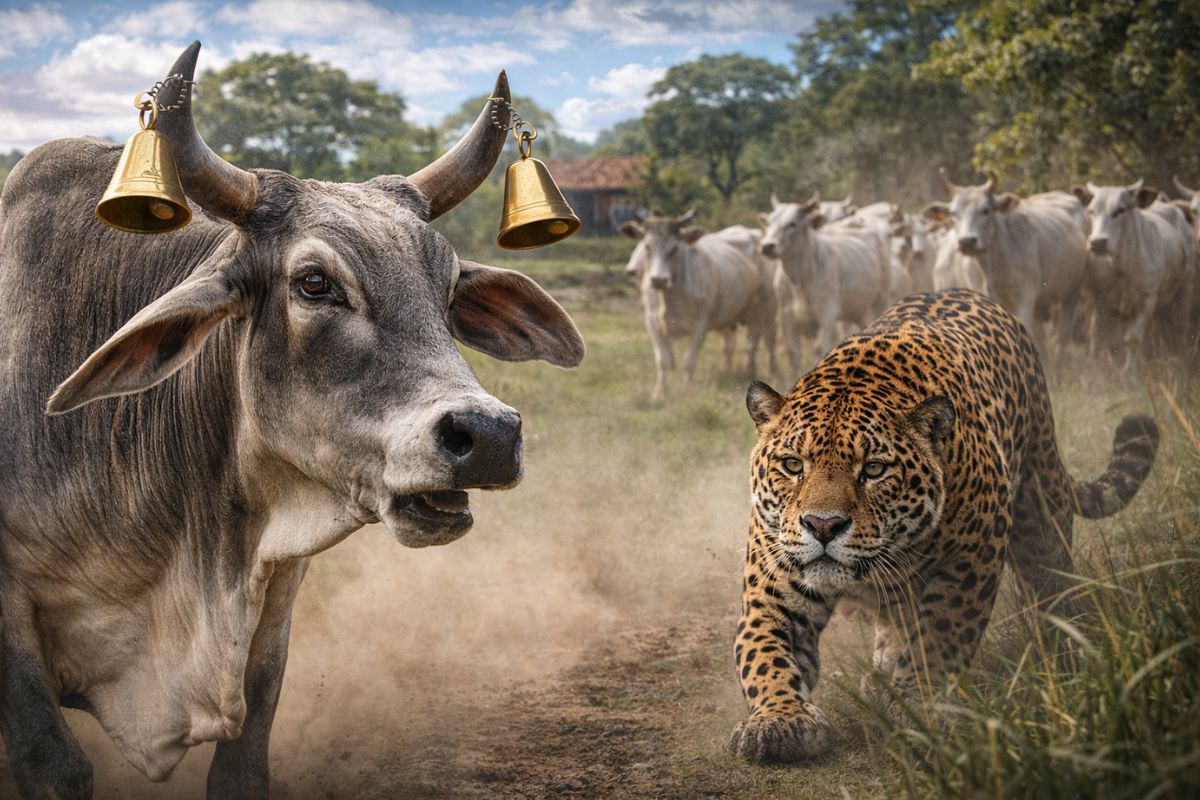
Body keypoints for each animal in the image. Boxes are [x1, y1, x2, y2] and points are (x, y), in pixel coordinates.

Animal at [0, 42, 584, 800]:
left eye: (449, 288)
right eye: (313, 283)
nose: (487, 437)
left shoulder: (275, 596)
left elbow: (245, 761)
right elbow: (56, 765)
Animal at [620, 212, 777, 399]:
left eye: (674, 248)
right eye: (647, 246)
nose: (659, 279)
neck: (668, 296)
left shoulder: (700, 325)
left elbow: (689, 360)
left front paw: (686, 389)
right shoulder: (652, 323)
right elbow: (663, 360)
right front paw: (660, 392)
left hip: (764, 309)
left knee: (762, 343)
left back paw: (761, 372)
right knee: (732, 345)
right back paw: (729, 369)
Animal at [759, 193, 891, 365]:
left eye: (792, 223)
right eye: (769, 222)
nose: (767, 246)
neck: (799, 279)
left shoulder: (827, 315)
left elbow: (819, 348)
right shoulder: (786, 318)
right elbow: (793, 353)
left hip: (880, 299)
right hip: (857, 311)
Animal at [922, 169, 1087, 354]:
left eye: (985, 210)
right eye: (954, 214)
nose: (967, 241)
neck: (994, 266)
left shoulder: (1025, 297)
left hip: (1070, 295)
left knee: (1061, 337)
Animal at [1073, 180, 1197, 374]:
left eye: (1120, 210)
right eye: (1091, 210)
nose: (1098, 242)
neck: (1122, 265)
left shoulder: (1147, 300)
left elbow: (1132, 339)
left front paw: (1129, 372)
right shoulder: (1103, 302)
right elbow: (1108, 340)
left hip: (1185, 290)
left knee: (1179, 329)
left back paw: (1181, 361)